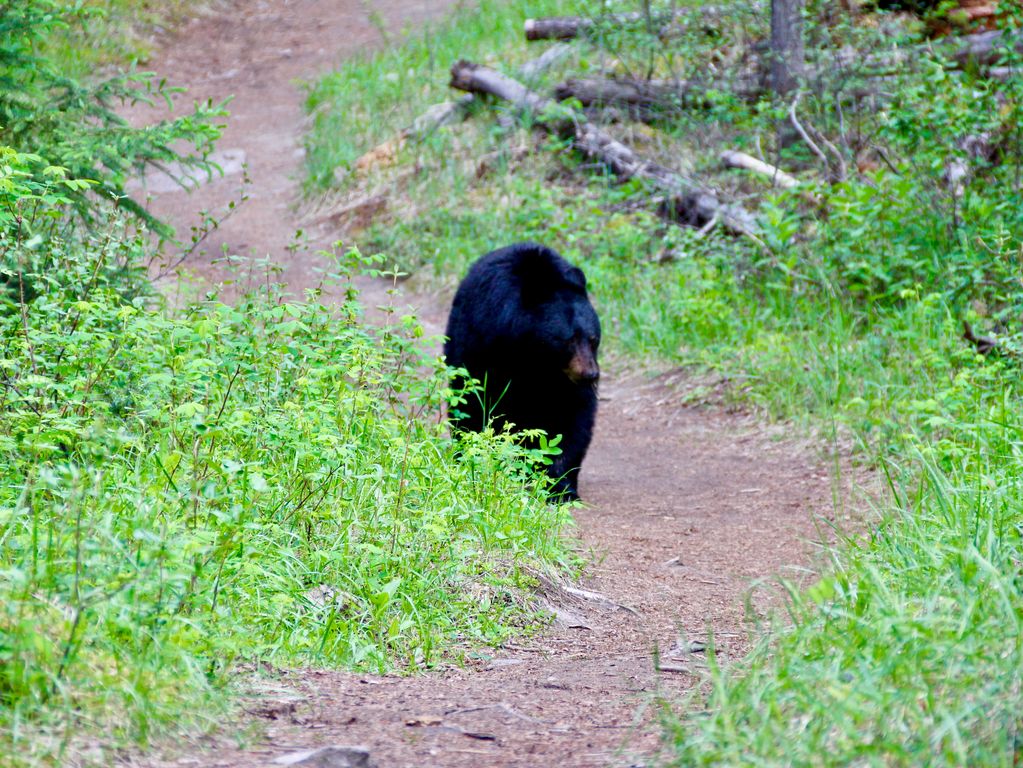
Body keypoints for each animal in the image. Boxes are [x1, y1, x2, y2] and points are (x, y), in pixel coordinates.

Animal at [441, 243, 597, 501]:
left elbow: (574, 418)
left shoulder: (566, 382)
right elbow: (481, 405)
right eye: (568, 340)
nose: (591, 375)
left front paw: (562, 486)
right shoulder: (485, 346)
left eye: (593, 338)